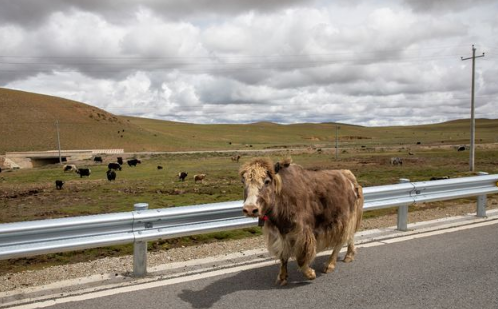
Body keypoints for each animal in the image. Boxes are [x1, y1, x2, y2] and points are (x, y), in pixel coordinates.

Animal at [240, 158, 362, 286]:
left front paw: (310, 274)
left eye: (267, 181)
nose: (250, 209)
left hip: (344, 218)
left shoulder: (302, 231)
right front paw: (282, 277)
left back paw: (329, 265)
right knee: (350, 236)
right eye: (243, 182)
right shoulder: (281, 233)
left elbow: (301, 257)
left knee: (341, 240)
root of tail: (348, 176)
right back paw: (349, 256)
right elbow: (283, 255)